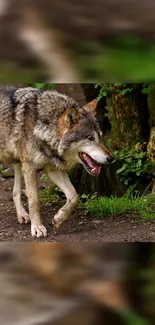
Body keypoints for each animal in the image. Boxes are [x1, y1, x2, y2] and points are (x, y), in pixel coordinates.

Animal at [0, 85, 112, 238]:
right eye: (90, 138)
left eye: (100, 137)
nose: (110, 158)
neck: (42, 126)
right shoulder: (30, 168)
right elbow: (34, 201)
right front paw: (37, 227)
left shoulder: (51, 168)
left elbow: (74, 196)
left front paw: (59, 219)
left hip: (18, 161)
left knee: (16, 191)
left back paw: (22, 215)